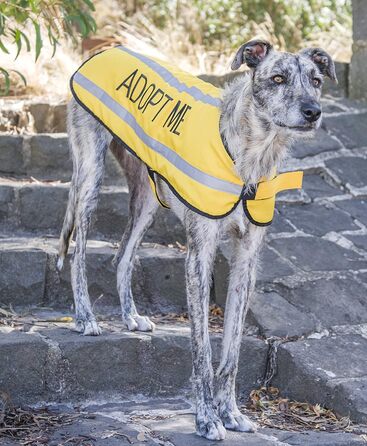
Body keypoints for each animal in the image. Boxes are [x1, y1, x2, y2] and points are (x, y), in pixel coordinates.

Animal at [59, 39, 338, 442]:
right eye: (278, 78)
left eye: (316, 80)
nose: (312, 112)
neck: (248, 155)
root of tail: (108, 48)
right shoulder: (199, 257)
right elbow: (203, 351)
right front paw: (206, 419)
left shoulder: (246, 262)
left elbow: (231, 352)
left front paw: (231, 413)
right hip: (90, 176)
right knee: (79, 252)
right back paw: (85, 316)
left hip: (148, 197)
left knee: (122, 256)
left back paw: (130, 316)